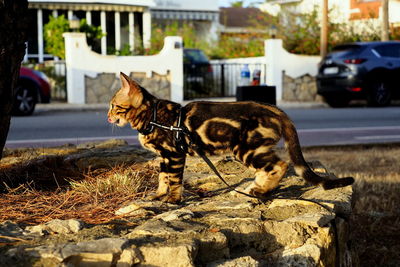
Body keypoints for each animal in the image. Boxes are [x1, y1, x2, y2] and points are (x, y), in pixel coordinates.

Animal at [107, 72, 354, 204]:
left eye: (113, 106)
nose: (108, 117)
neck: (152, 116)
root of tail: (276, 110)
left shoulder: (173, 154)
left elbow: (174, 179)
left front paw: (173, 200)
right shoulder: (164, 157)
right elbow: (162, 178)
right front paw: (158, 195)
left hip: (246, 147)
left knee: (280, 165)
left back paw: (260, 190)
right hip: (252, 149)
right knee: (268, 168)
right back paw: (256, 188)